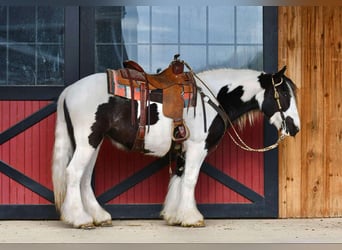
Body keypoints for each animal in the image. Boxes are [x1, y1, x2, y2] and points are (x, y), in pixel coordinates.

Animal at [50, 60, 300, 229]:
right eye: (283, 94)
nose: (295, 127)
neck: (212, 98)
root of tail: (69, 91)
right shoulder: (198, 147)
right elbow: (190, 179)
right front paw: (192, 218)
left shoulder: (183, 149)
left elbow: (179, 178)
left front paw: (174, 215)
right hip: (88, 141)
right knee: (74, 173)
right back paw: (80, 219)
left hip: (93, 143)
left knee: (83, 178)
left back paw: (98, 216)